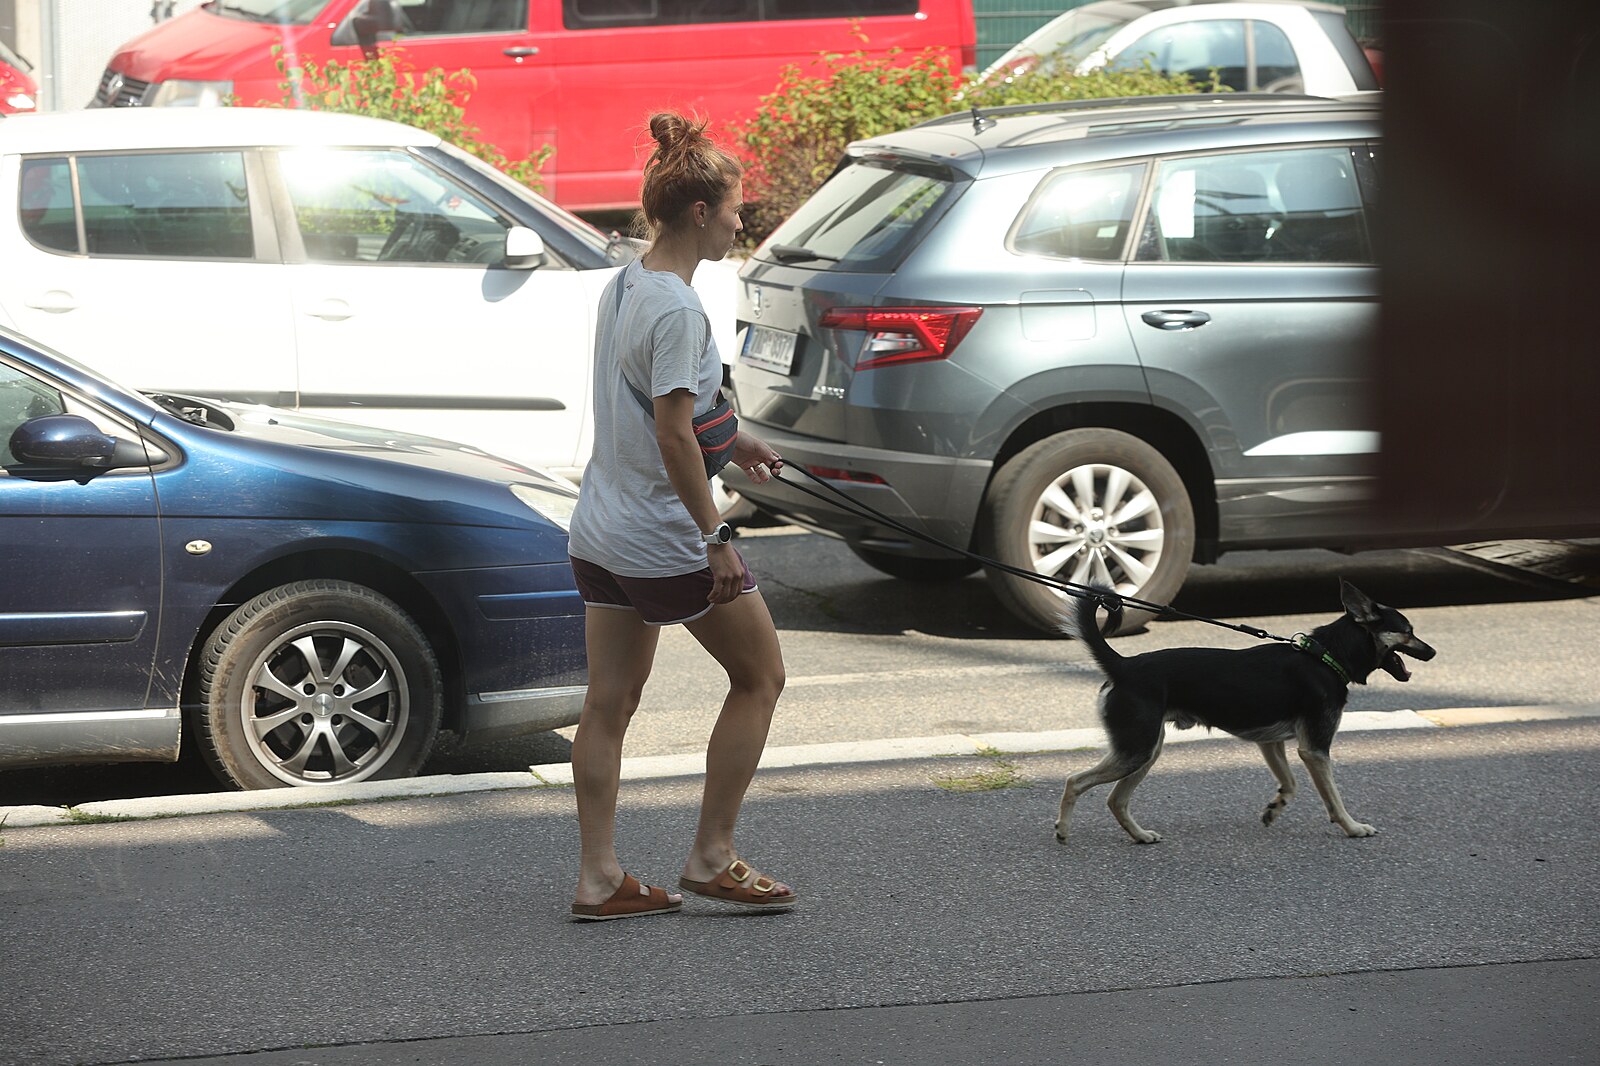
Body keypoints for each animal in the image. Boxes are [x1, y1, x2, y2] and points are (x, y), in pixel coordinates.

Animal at [1056, 579, 1436, 845]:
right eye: (1408, 632)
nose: (1432, 652)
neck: (1325, 657)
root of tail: (1122, 665)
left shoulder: (1272, 743)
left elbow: (1290, 783)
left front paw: (1275, 807)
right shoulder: (1315, 749)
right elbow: (1333, 798)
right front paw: (1353, 827)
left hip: (1146, 750)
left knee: (1116, 799)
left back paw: (1140, 836)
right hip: (1137, 749)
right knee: (1075, 781)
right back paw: (1063, 830)